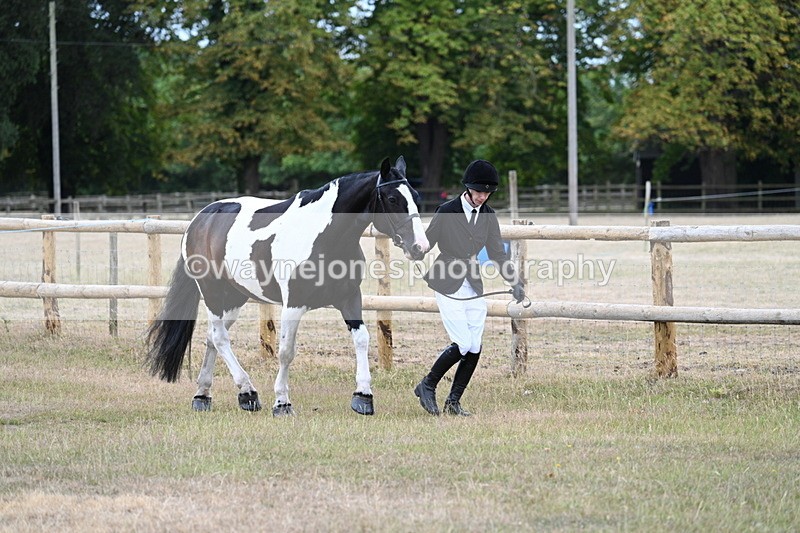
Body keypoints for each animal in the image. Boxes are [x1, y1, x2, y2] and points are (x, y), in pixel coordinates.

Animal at [145, 156, 429, 416]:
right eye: (392, 199)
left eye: (416, 197)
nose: (420, 247)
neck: (325, 237)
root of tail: (200, 219)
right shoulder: (293, 304)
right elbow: (285, 352)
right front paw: (282, 402)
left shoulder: (349, 298)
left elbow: (361, 340)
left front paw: (363, 396)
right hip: (212, 292)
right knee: (219, 337)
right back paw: (248, 391)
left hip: (235, 297)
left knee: (211, 337)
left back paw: (204, 395)